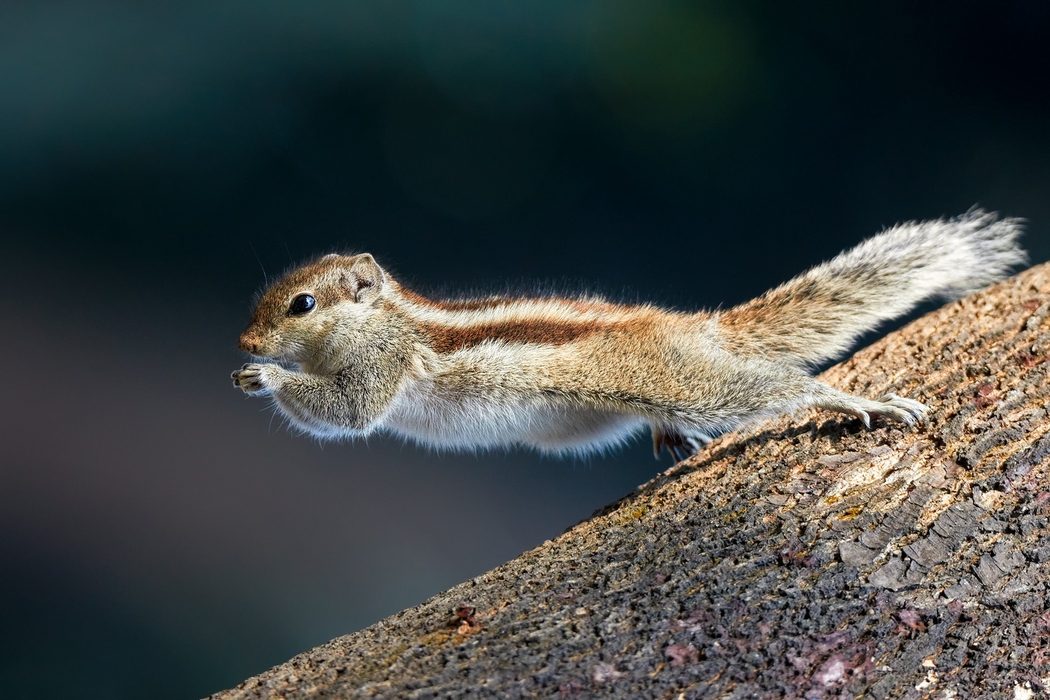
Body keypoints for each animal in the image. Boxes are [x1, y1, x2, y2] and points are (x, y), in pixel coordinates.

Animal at [232, 209, 1024, 459]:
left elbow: (348, 412)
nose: (244, 346)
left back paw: (856, 401)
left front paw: (267, 378)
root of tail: (697, 328)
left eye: (301, 304)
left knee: (782, 387)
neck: (389, 316)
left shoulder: (382, 363)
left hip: (695, 382)